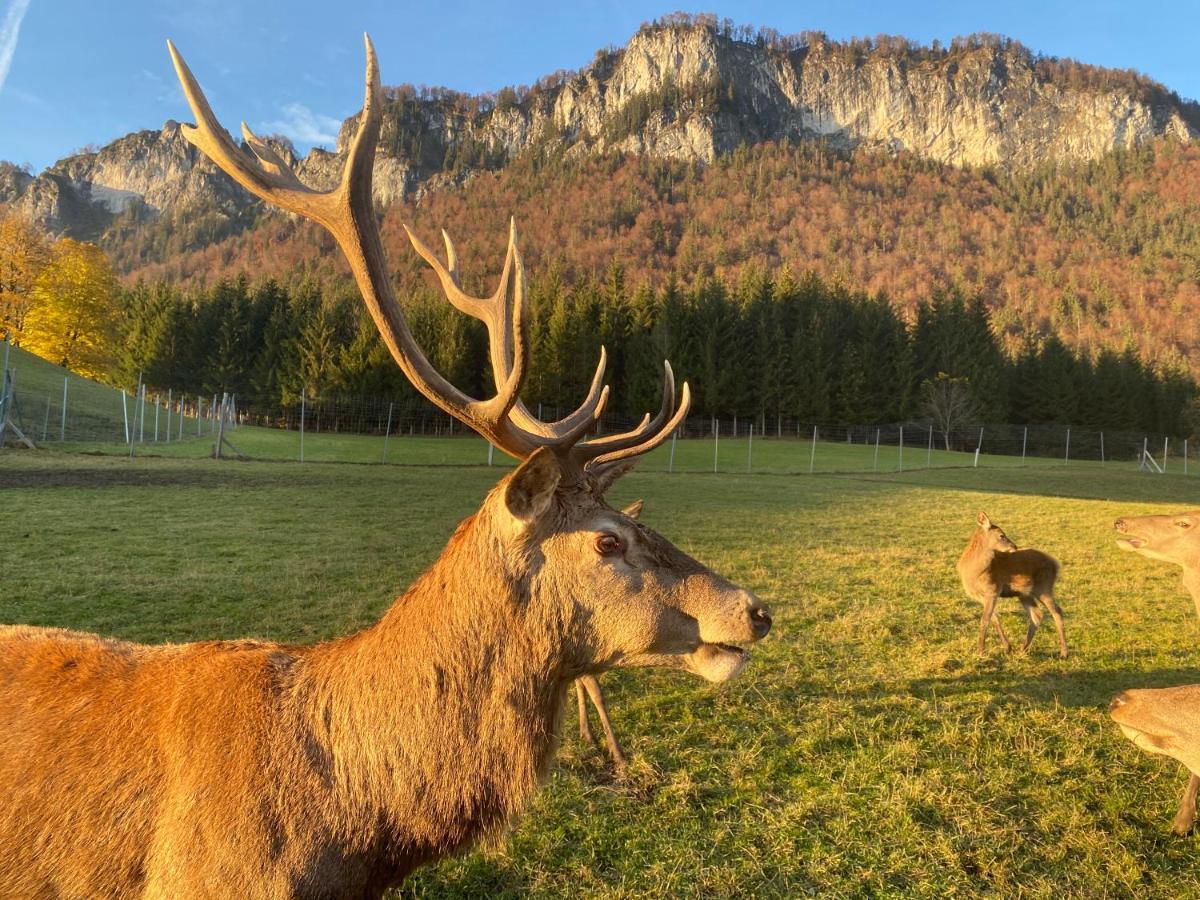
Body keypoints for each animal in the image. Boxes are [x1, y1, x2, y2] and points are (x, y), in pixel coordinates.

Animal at [955, 513, 1070, 662]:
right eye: (1001, 535)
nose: (1015, 546)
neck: (973, 572)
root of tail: (1056, 564)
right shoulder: (982, 596)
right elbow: (995, 619)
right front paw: (1007, 648)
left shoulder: (993, 590)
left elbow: (985, 620)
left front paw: (980, 652)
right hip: (1025, 593)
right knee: (1037, 614)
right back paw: (1023, 649)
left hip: (1044, 587)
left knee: (1057, 611)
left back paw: (1064, 653)